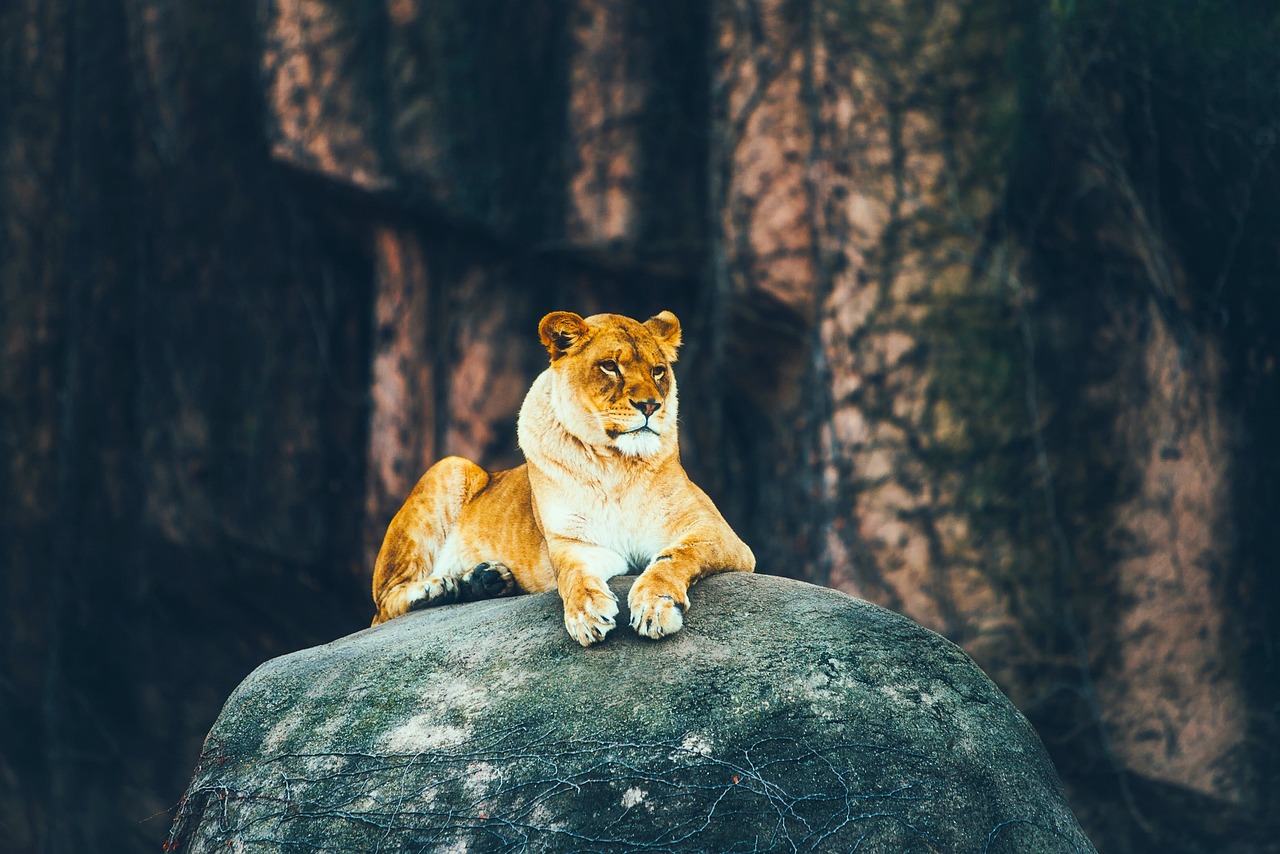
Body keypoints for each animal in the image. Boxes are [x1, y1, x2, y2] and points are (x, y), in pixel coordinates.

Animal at [370, 309, 756, 646]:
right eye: (610, 366)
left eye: (659, 371)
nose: (650, 406)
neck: (616, 465)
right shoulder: (573, 541)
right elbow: (573, 575)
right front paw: (586, 614)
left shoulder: (719, 534)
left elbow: (675, 557)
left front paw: (654, 605)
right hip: (450, 466)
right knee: (384, 606)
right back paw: (439, 587)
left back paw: (483, 581)